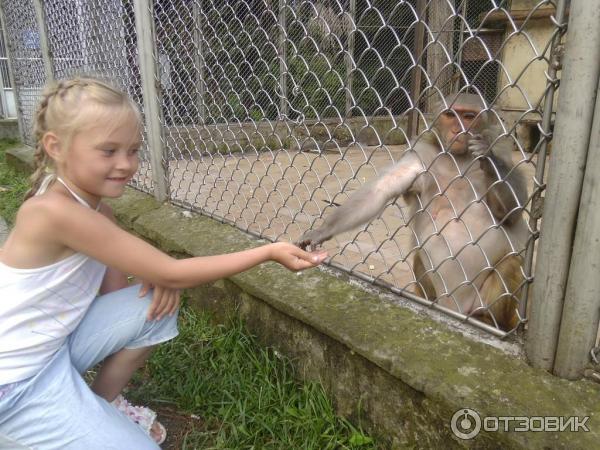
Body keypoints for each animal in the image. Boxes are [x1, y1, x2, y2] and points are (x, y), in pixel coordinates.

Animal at [298, 92, 528, 330]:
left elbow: (513, 212)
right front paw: (323, 231)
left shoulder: (501, 145)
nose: (457, 130)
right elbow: (382, 188)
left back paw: (489, 321)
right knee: (420, 258)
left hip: (485, 304)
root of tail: (455, 308)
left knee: (512, 262)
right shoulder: (422, 154)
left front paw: (487, 158)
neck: (458, 158)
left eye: (468, 116)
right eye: (450, 115)